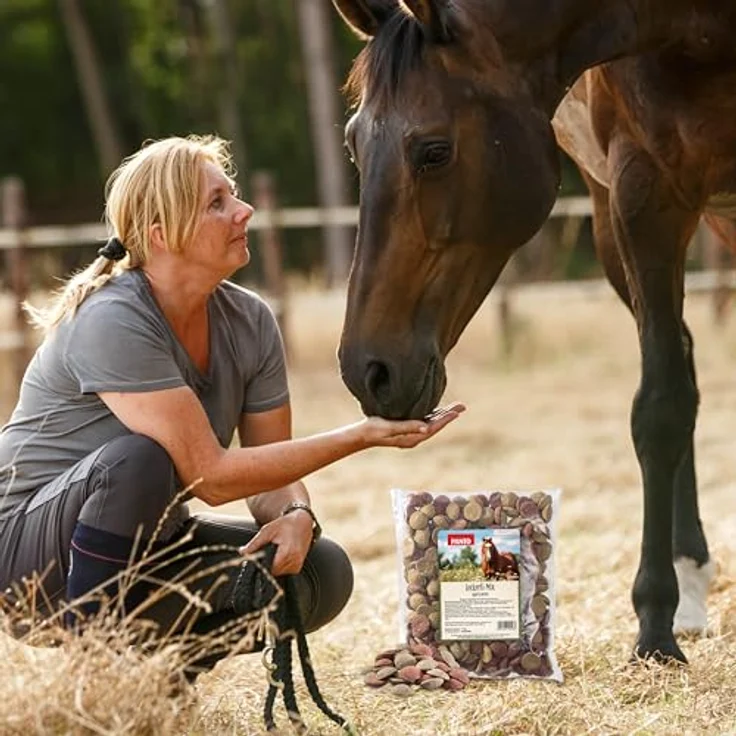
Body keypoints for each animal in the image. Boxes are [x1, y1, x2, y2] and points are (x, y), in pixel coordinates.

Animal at [331, 0, 736, 663]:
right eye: (353, 145)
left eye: (434, 151)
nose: (369, 369)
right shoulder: (642, 191)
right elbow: (661, 409)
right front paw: (655, 623)